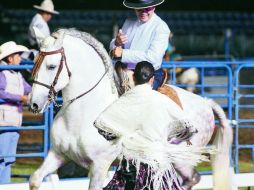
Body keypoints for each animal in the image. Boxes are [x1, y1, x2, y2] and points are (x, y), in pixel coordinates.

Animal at [29, 28, 232, 190]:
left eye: (51, 66)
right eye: (35, 62)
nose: (34, 104)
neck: (83, 115)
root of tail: (206, 102)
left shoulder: (99, 166)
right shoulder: (58, 154)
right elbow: (35, 180)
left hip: (183, 160)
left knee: (189, 180)